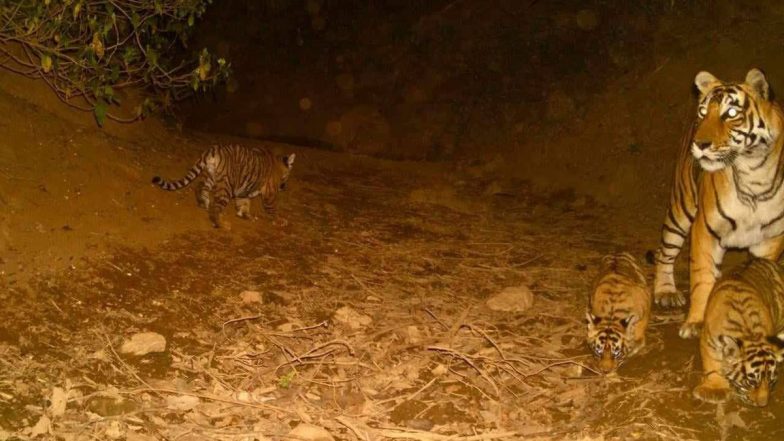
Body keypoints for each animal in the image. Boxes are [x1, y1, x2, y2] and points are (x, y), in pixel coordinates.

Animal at [152, 144, 295, 228]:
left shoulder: (243, 190)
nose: (283, 186)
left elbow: (243, 203)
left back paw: (203, 203)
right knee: (215, 208)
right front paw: (280, 220)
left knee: (199, 186)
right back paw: (221, 224)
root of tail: (213, 150)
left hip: (210, 176)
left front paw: (245, 215)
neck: (278, 163)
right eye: (287, 176)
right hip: (226, 187)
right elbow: (272, 208)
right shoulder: (269, 193)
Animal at [651, 68, 784, 339]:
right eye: (703, 112)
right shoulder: (705, 228)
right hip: (680, 210)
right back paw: (665, 291)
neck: (754, 174)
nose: (700, 144)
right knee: (665, 251)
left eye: (731, 113)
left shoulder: (772, 238)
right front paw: (695, 323)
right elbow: (702, 278)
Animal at [694, 258, 784, 407]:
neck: (749, 333)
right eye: (751, 382)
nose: (762, 404)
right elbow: (713, 365)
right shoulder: (708, 341)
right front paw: (715, 390)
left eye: (771, 381)